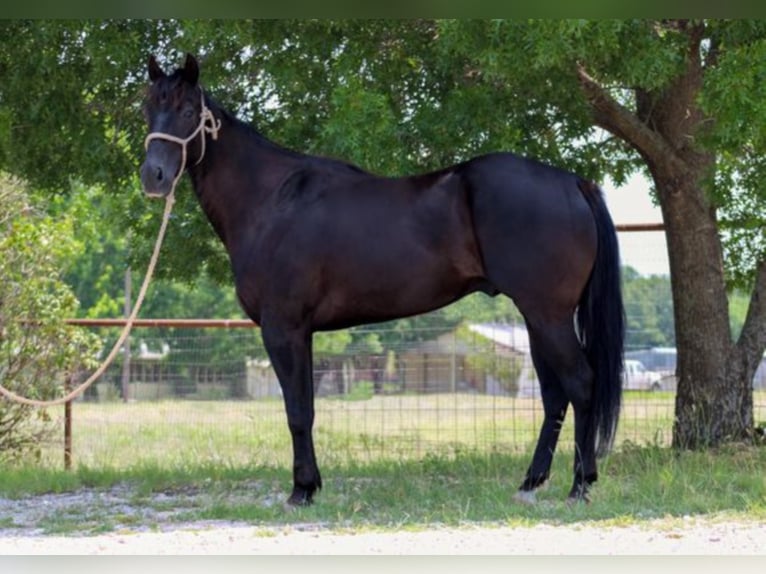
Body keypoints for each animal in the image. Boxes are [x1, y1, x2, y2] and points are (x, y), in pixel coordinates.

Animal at [142, 53, 624, 504]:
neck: (272, 199)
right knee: (554, 395)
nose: (153, 176)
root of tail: (572, 183)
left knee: (581, 384)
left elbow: (296, 411)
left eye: (188, 110)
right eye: (149, 107)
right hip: (538, 317)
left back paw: (580, 485)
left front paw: (300, 491)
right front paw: (312, 486)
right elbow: (308, 408)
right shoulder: (302, 333)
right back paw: (531, 482)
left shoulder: (283, 328)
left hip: (548, 315)